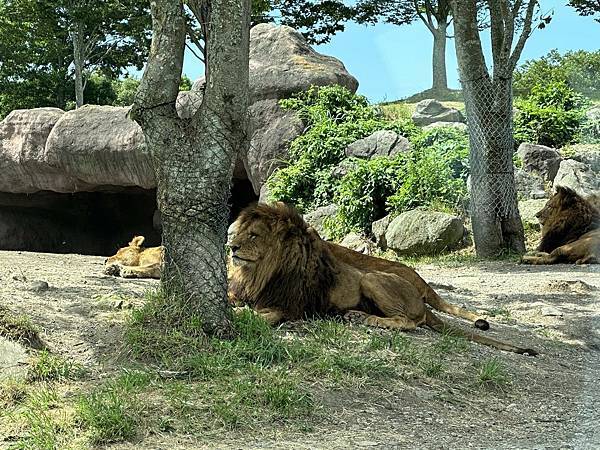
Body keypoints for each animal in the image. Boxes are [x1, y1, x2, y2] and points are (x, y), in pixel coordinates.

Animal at [227, 203, 536, 356]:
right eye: (238, 233)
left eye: (253, 235)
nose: (231, 247)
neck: (259, 272)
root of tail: (420, 295)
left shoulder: (288, 307)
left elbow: (262, 316)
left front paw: (243, 316)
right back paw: (355, 315)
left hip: (372, 278)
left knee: (409, 322)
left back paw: (368, 319)